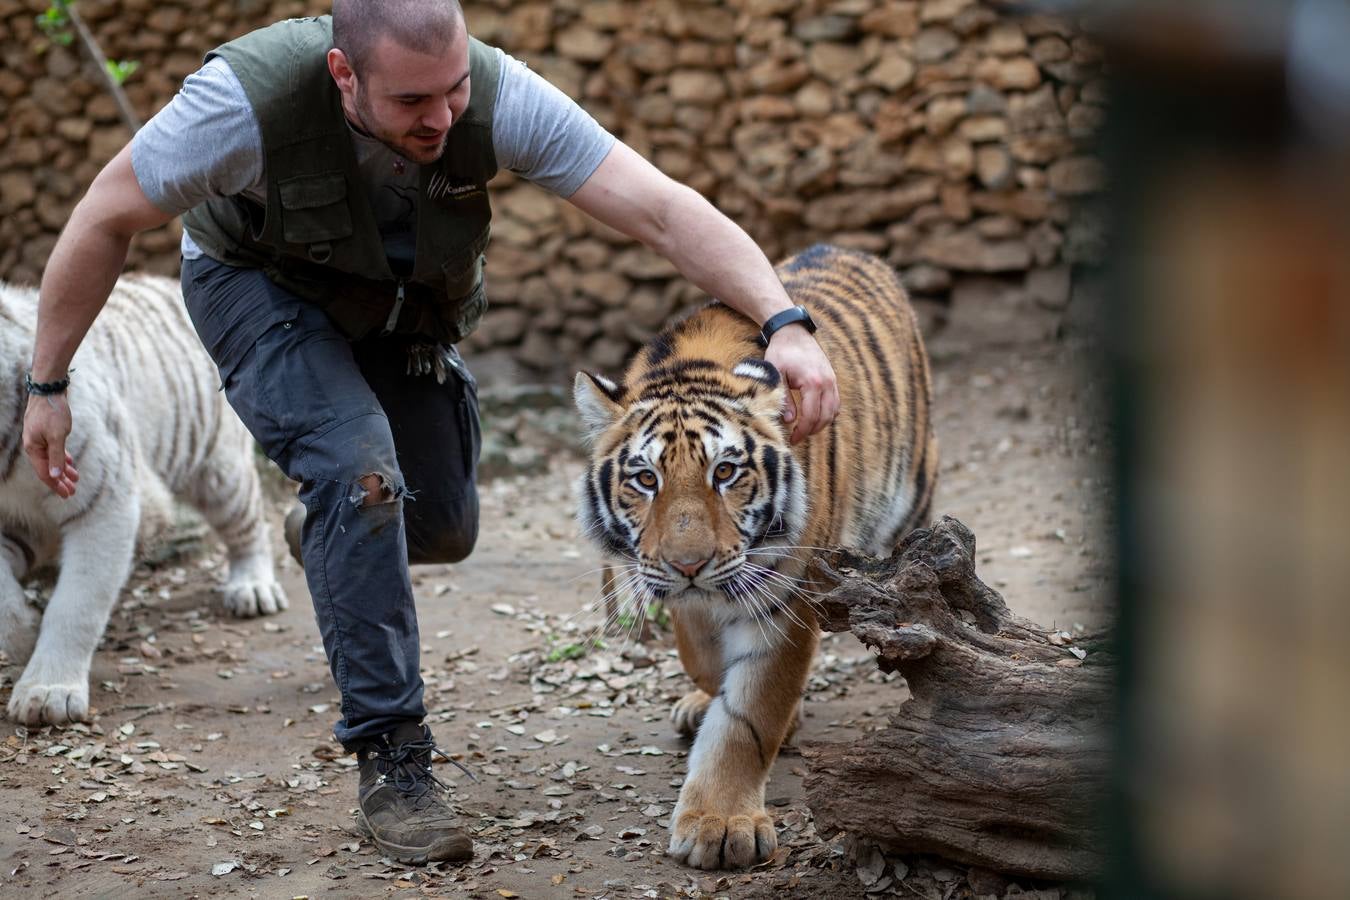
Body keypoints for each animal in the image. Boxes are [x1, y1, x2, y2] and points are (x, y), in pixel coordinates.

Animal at [1, 272, 287, 723]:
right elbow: (4, 599)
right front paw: (27, 635)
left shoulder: (105, 497)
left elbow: (77, 603)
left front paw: (49, 694)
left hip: (219, 467)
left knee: (248, 523)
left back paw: (253, 589)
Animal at [572, 242, 939, 868]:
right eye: (645, 479)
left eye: (725, 472)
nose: (689, 565)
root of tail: (845, 246)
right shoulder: (683, 597)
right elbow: (702, 657)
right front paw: (708, 698)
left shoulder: (784, 598)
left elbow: (748, 717)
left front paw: (719, 825)